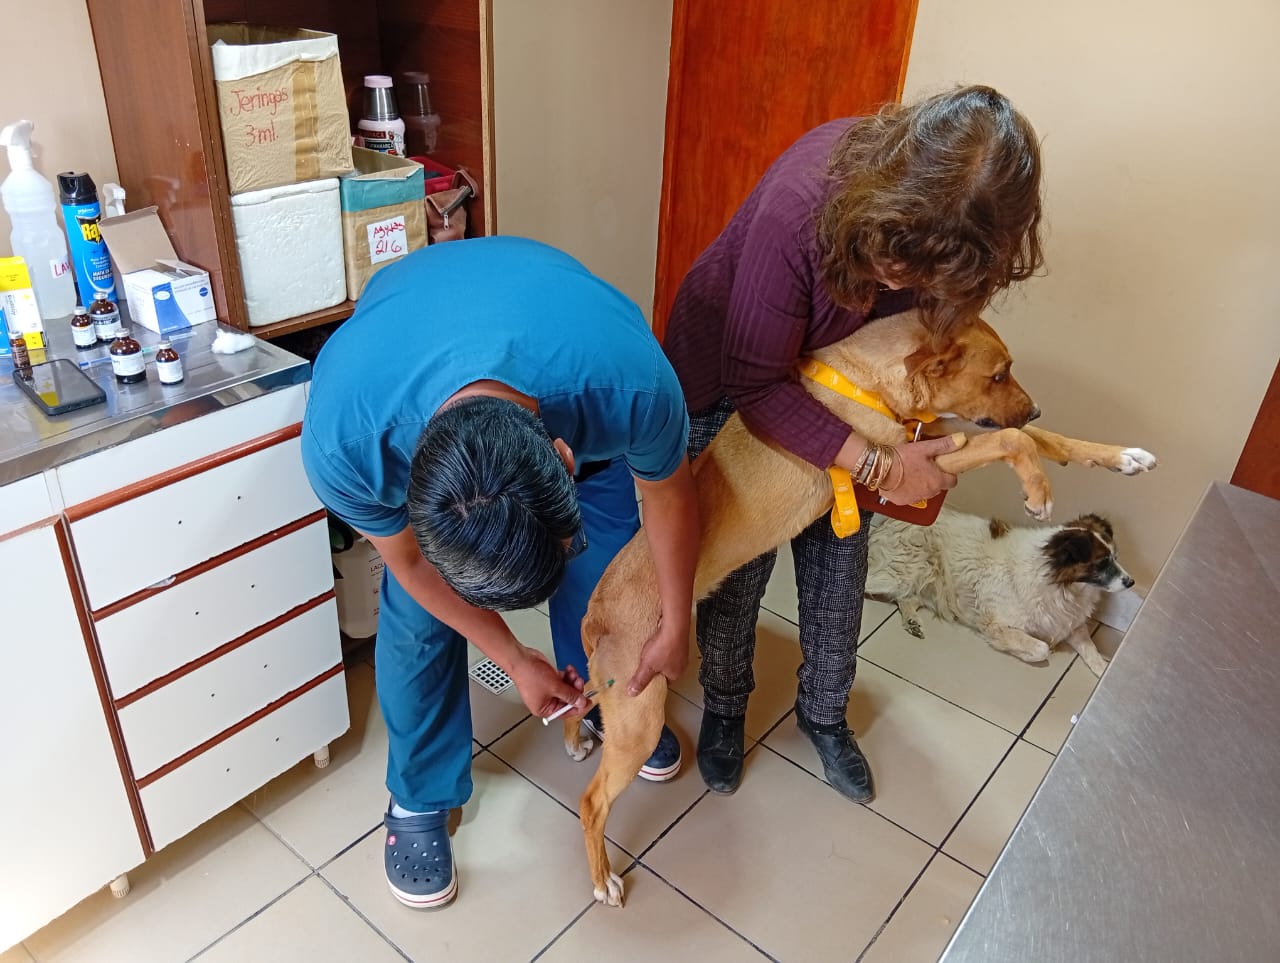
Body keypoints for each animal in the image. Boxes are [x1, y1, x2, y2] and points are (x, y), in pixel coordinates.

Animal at [865, 507, 1131, 676]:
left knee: (905, 598)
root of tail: (884, 525)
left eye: (1116, 557)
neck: (1059, 584)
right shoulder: (997, 625)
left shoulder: (1069, 623)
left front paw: (1105, 673)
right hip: (900, 574)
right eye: (1101, 564)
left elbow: (1092, 651)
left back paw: (912, 622)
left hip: (923, 583)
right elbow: (1040, 648)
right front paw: (1028, 653)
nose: (1131, 582)